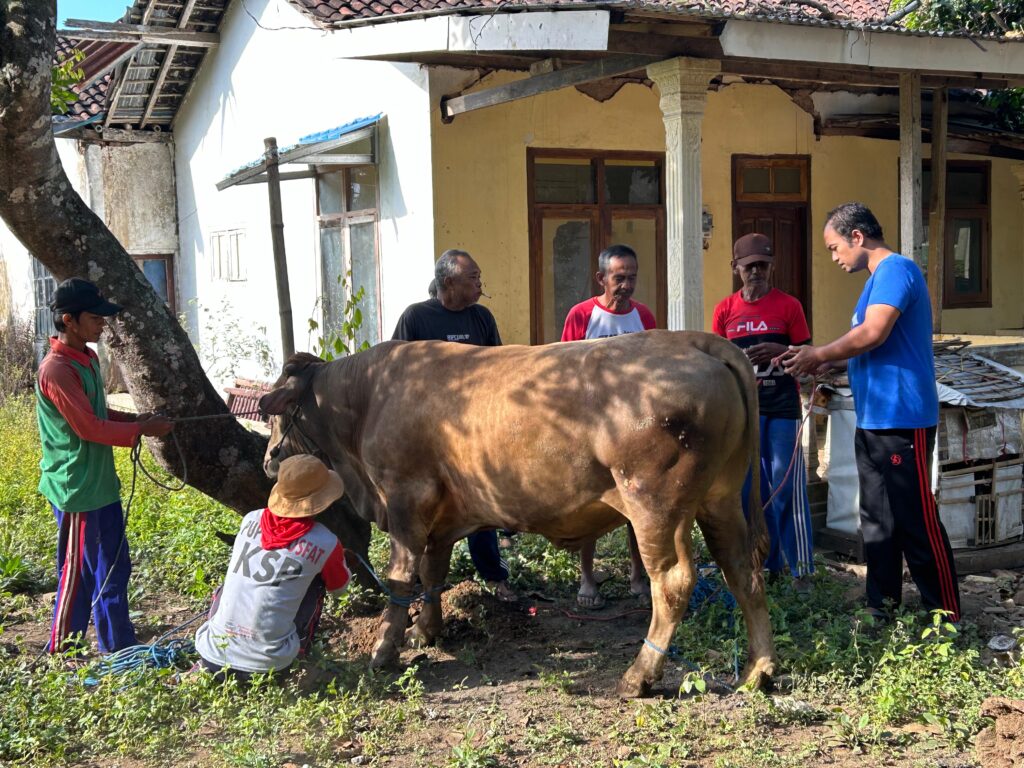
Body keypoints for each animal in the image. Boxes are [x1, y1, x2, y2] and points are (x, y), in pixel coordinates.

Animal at [260, 331, 770, 696]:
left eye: (275, 414)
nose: (267, 459)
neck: (368, 398)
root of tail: (690, 339)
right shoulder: (441, 515)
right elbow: (432, 573)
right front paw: (427, 630)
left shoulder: (405, 499)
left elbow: (402, 578)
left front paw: (386, 649)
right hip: (721, 499)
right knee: (743, 572)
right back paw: (759, 669)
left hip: (655, 506)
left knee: (674, 581)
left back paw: (639, 675)